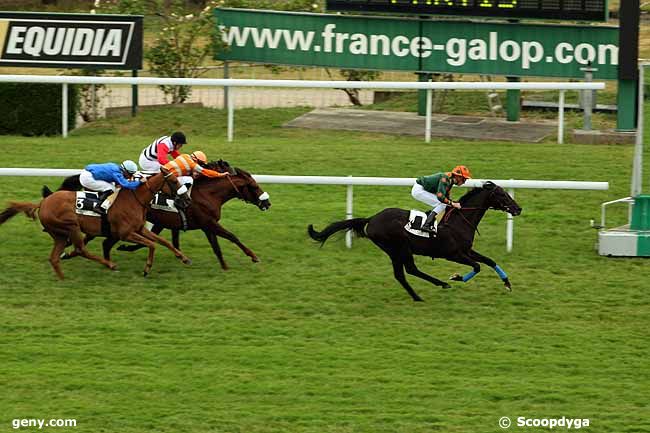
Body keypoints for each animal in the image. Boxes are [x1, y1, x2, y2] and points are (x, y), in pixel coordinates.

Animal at [0, 167, 190, 278]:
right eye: (174, 181)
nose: (187, 200)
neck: (134, 199)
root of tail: (43, 202)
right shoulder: (125, 233)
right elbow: (152, 244)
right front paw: (146, 268)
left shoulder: (139, 229)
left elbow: (163, 241)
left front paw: (183, 257)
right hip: (71, 226)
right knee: (80, 249)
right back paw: (110, 265)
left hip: (59, 234)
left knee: (55, 257)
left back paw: (63, 278)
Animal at [306, 181, 520, 302]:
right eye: (502, 194)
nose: (518, 209)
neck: (458, 221)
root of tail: (372, 219)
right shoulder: (453, 254)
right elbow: (477, 266)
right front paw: (456, 277)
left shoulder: (467, 250)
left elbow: (489, 261)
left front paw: (507, 283)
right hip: (398, 248)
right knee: (408, 271)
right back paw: (437, 286)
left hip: (396, 250)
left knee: (403, 274)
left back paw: (420, 295)